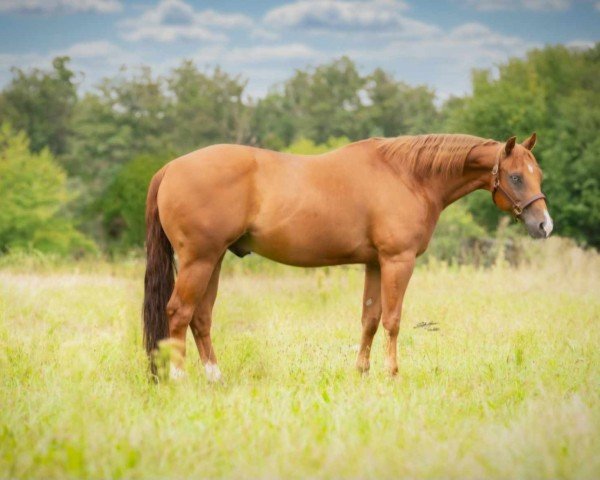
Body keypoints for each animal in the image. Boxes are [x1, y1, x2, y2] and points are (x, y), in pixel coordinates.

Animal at [142, 133, 552, 380]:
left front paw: (362, 372)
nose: (544, 225)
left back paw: (215, 378)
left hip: (213, 261)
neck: (408, 176)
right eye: (516, 177)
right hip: (198, 260)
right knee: (179, 312)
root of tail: (171, 167)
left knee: (201, 318)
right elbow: (392, 320)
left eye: (539, 174)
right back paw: (179, 378)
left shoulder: (374, 263)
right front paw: (392, 373)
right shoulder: (398, 261)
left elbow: (369, 318)